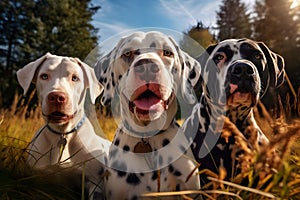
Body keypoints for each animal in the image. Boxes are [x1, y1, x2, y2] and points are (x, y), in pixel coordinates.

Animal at [16, 53, 110, 200]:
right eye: (44, 76)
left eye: (75, 78)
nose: (56, 97)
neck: (62, 133)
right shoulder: (37, 180)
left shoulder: (95, 184)